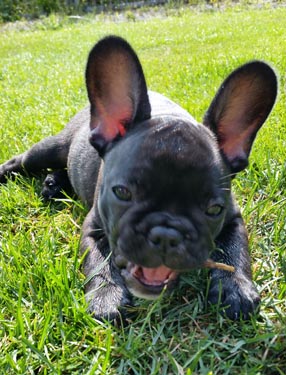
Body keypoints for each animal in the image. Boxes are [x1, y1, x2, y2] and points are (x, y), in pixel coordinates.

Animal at [0, 36, 278, 322]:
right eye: (122, 192)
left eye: (214, 210)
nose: (166, 234)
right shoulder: (93, 227)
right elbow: (98, 260)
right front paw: (106, 296)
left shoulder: (234, 218)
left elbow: (236, 250)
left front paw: (236, 288)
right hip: (50, 149)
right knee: (23, 160)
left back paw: (53, 184)